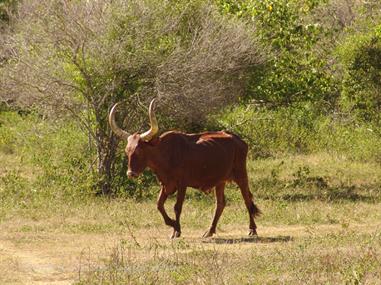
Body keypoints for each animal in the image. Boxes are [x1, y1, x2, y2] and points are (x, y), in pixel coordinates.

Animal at [108, 98, 260, 236]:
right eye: (127, 151)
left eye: (139, 150)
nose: (130, 173)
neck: (165, 154)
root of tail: (239, 140)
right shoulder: (166, 184)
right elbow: (159, 205)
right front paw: (172, 224)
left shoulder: (182, 184)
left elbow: (177, 207)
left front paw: (177, 229)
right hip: (220, 182)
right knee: (220, 204)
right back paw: (210, 231)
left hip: (241, 176)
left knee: (247, 199)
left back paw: (252, 229)